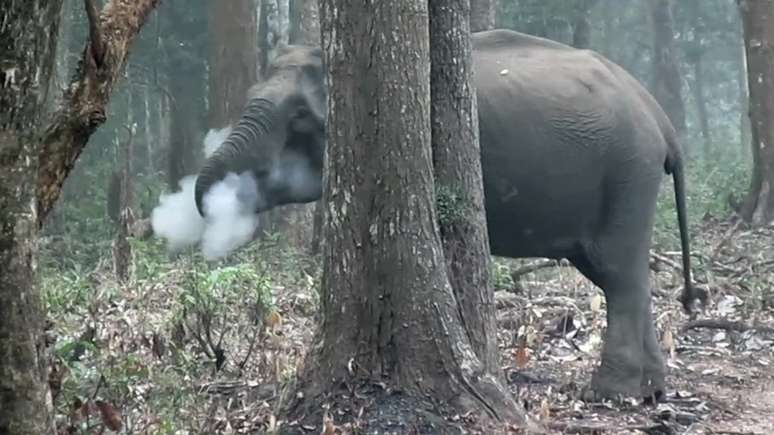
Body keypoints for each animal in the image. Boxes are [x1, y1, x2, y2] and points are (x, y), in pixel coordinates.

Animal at [194, 29, 704, 402]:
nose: (207, 208)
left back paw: (611, 394)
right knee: (618, 274)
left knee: (618, 274)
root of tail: (661, 120)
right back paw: (652, 391)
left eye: (300, 115)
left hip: (628, 173)